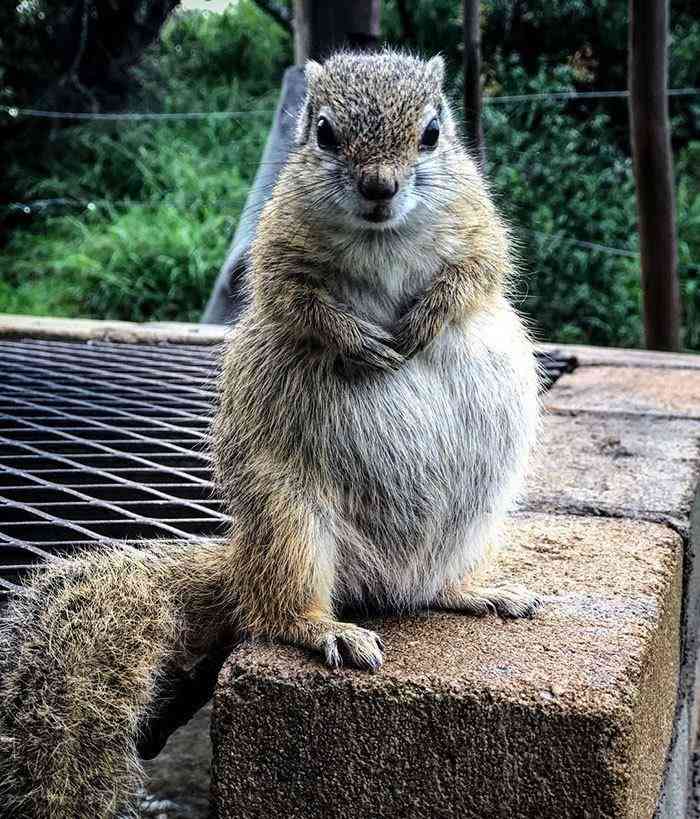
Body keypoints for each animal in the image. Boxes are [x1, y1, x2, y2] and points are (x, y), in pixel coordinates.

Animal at [0, 52, 540, 819]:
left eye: (433, 133)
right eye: (324, 133)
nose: (380, 187)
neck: (383, 236)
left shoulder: (479, 226)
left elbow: (478, 272)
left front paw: (422, 322)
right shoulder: (276, 248)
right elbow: (297, 301)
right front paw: (357, 342)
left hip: (473, 518)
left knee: (427, 587)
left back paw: (472, 591)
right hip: (290, 521)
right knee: (277, 611)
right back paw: (324, 627)